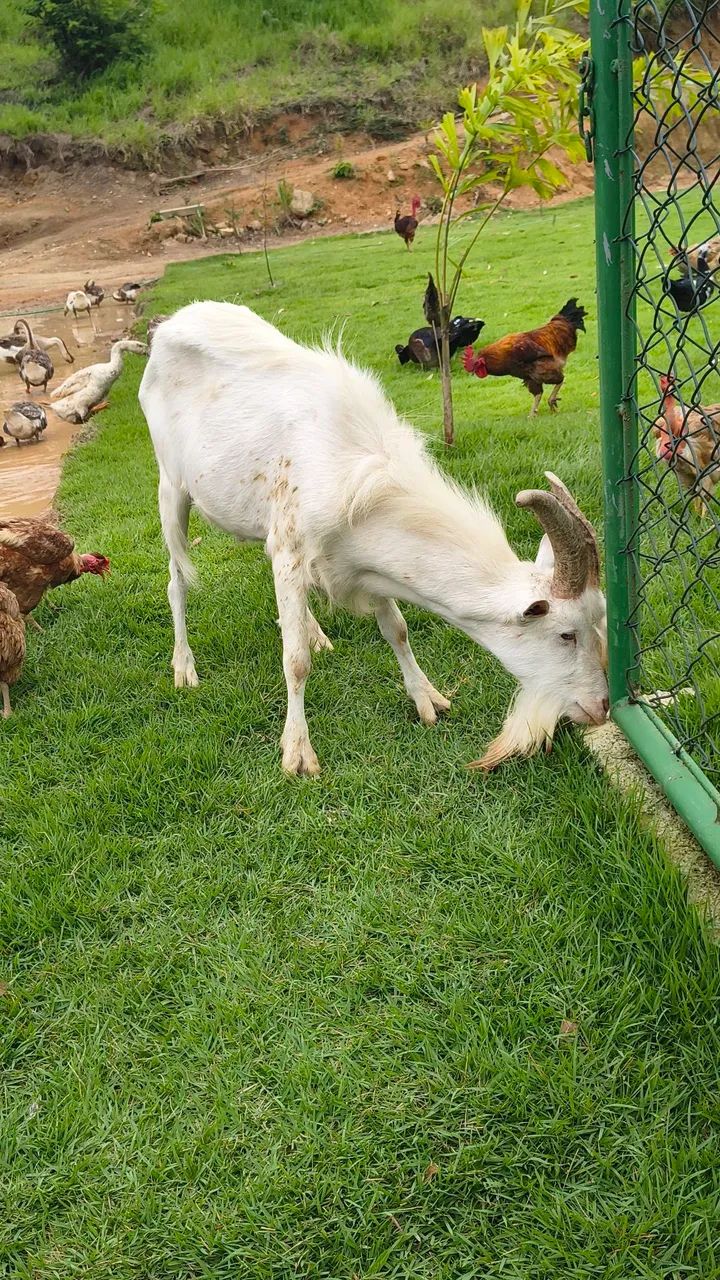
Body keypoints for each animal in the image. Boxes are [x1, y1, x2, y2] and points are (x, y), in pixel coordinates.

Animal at [139, 302, 608, 776]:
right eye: (566, 634)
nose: (601, 707)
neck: (358, 467)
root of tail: (169, 326)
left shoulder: (363, 558)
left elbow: (396, 629)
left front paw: (428, 699)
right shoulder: (291, 546)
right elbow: (295, 660)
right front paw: (297, 751)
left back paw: (314, 631)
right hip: (170, 486)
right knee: (176, 579)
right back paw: (184, 667)